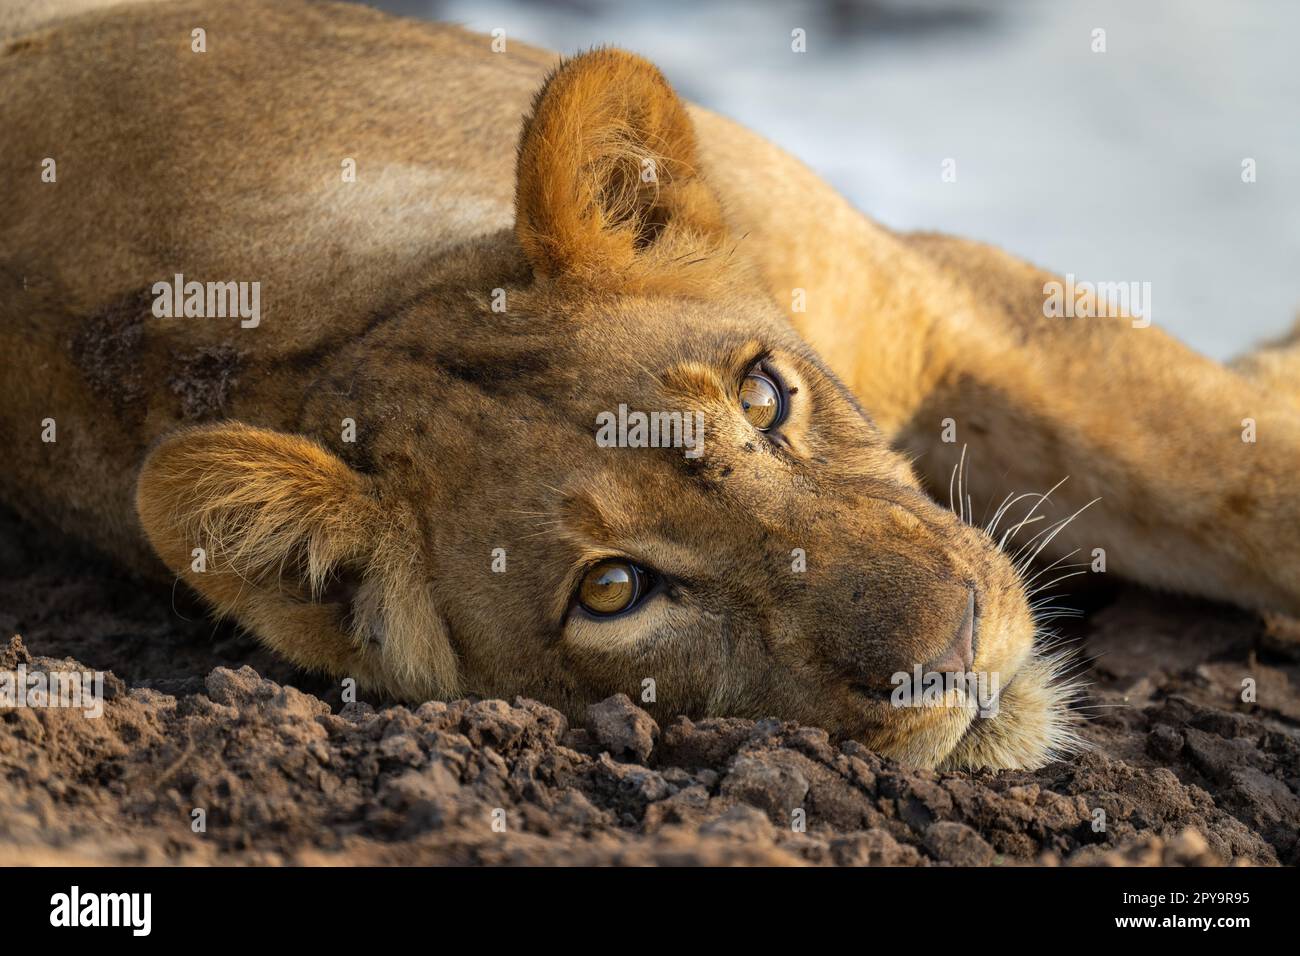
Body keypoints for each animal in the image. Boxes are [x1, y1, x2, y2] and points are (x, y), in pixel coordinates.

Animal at [2, 0, 1300, 770]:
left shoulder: (933, 295)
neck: (353, 316)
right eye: (614, 590)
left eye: (765, 398)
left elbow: (1237, 476)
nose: (957, 649)